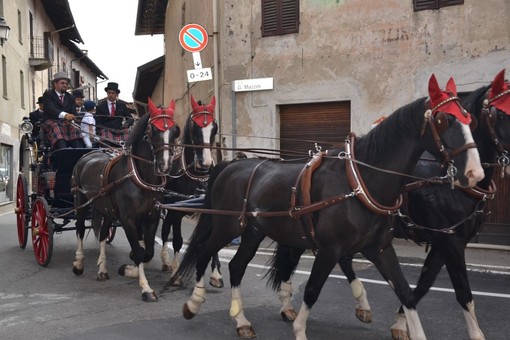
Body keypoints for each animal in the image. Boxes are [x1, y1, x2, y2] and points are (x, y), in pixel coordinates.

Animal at [71, 99, 181, 302]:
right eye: (152, 130)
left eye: (174, 129)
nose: (165, 165)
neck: (139, 177)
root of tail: (88, 155)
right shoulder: (128, 219)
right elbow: (138, 252)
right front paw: (146, 288)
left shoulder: (151, 217)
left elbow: (147, 252)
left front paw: (130, 270)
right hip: (79, 201)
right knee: (80, 230)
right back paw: (79, 264)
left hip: (106, 210)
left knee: (103, 234)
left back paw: (102, 270)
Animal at [159, 95, 223, 286]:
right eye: (195, 126)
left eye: (214, 126)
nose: (206, 163)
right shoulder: (176, 211)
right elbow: (178, 241)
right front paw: (177, 274)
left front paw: (216, 273)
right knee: (165, 231)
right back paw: (166, 261)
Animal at [173, 75, 484, 340]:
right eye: (443, 119)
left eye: (470, 119)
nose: (475, 173)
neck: (361, 181)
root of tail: (231, 165)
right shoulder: (330, 249)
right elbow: (312, 290)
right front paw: (299, 328)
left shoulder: (381, 249)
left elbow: (407, 294)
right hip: (226, 227)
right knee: (204, 253)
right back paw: (194, 302)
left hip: (252, 232)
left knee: (237, 266)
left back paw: (241, 320)